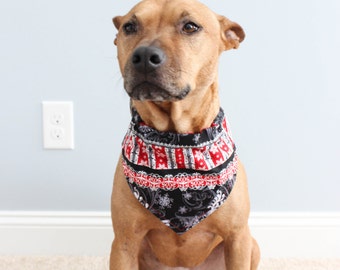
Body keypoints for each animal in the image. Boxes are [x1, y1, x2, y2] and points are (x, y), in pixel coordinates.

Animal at [110, 1, 258, 268]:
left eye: (190, 26)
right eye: (129, 27)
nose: (144, 56)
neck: (177, 142)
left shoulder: (238, 239)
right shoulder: (124, 243)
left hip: (253, 246)